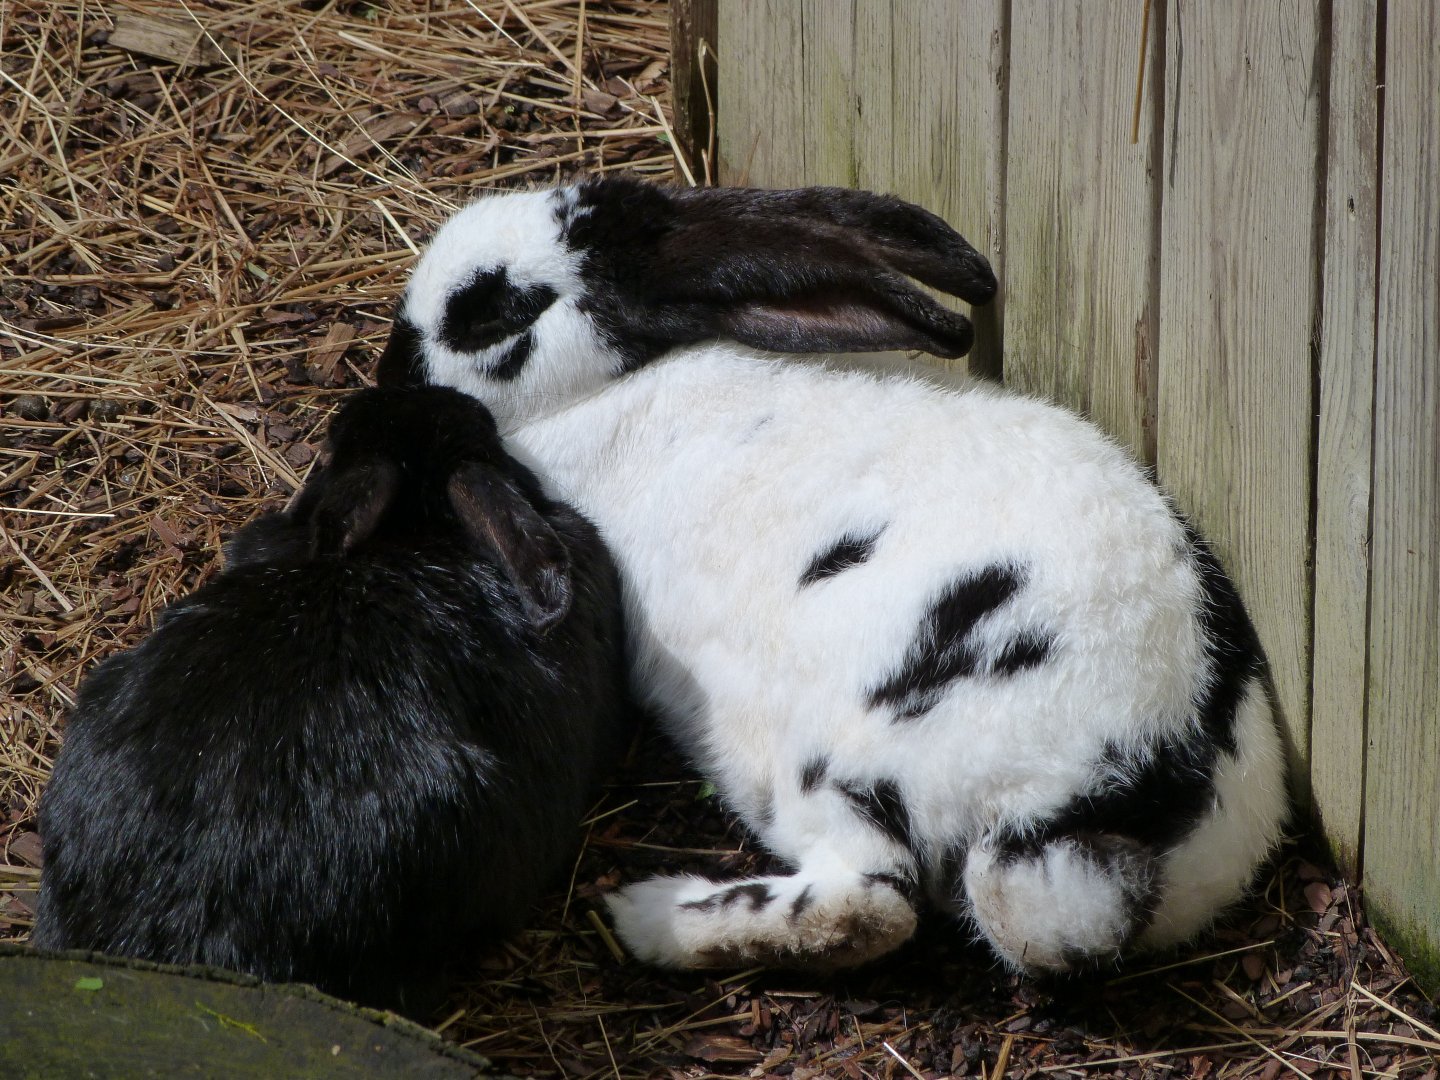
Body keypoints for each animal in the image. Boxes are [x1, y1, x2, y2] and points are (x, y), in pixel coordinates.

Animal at [374, 176, 1290, 976]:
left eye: (493, 310)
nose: (394, 369)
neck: (616, 384)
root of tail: (1131, 785)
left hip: (839, 769)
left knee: (869, 906)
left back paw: (651, 916)